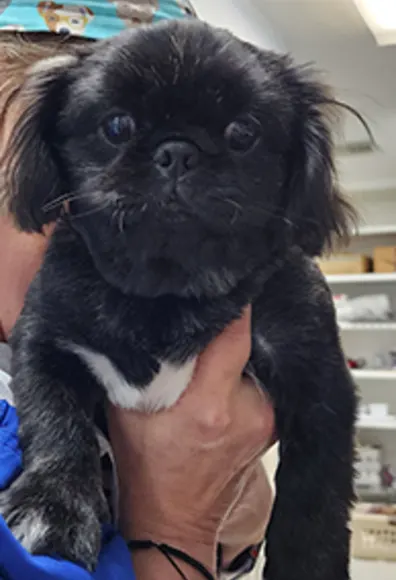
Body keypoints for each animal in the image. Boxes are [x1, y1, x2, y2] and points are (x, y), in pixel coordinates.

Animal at [2, 19, 356, 580]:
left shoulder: (316, 379)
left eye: (242, 133)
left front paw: (309, 564)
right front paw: (53, 509)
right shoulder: (45, 340)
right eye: (117, 126)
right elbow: (57, 424)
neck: (167, 294)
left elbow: (314, 492)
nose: (177, 151)